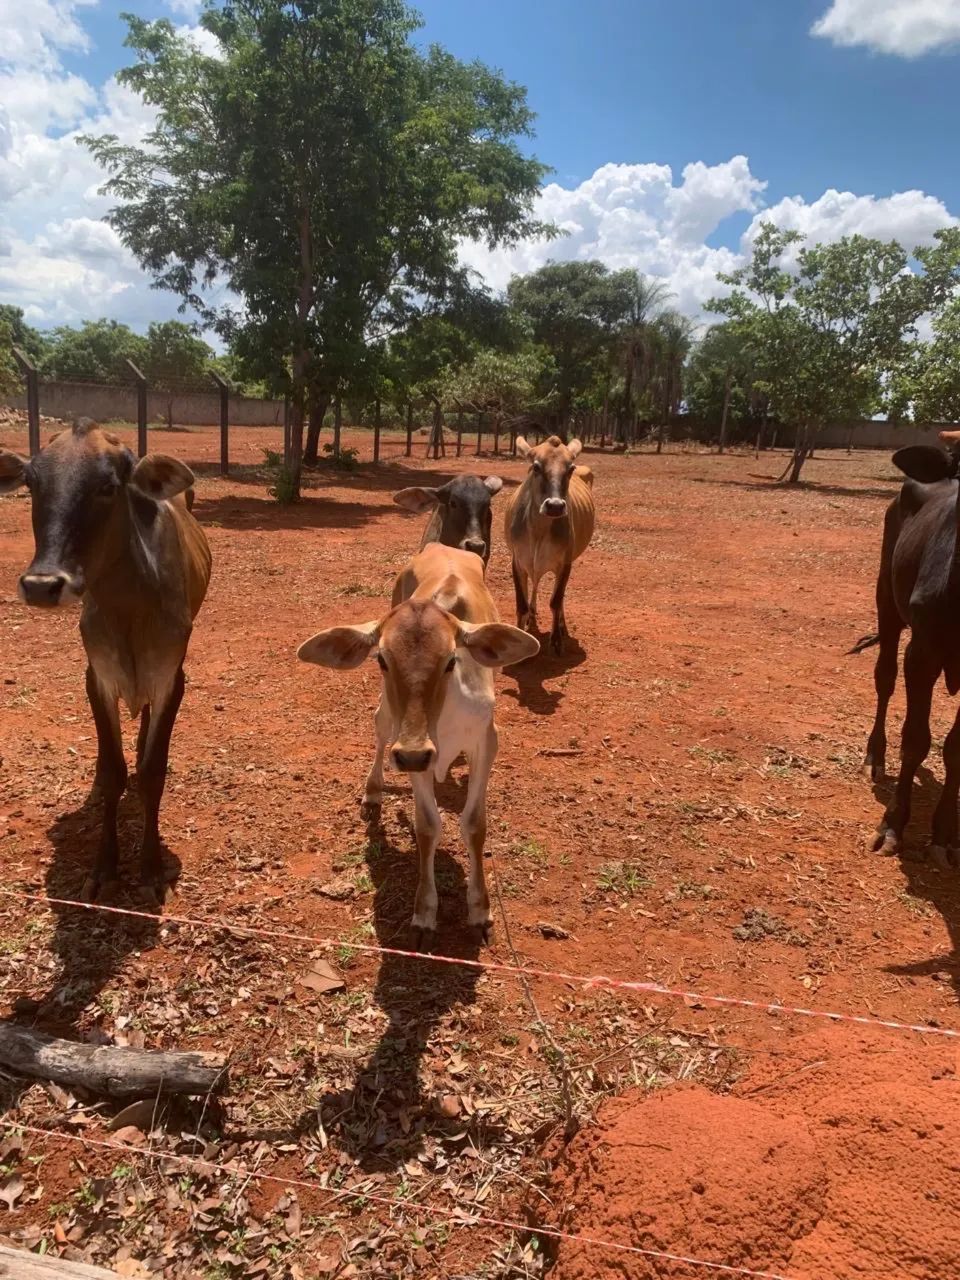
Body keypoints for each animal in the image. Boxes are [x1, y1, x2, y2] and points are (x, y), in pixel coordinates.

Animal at [0, 419, 211, 900]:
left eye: (108, 486)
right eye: (31, 483)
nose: (42, 585)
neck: (129, 604)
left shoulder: (171, 676)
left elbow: (152, 773)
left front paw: (150, 869)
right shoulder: (98, 677)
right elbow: (114, 771)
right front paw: (104, 867)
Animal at [297, 543, 538, 945]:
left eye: (451, 660)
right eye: (381, 658)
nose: (412, 753)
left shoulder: (485, 741)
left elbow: (475, 824)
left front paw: (480, 912)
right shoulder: (414, 753)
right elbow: (427, 826)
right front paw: (424, 914)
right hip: (389, 720)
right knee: (380, 729)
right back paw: (373, 792)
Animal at [504, 434, 595, 654]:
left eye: (570, 468)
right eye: (536, 467)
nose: (555, 506)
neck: (538, 530)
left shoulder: (565, 564)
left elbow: (555, 600)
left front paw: (556, 640)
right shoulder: (517, 561)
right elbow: (521, 604)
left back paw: (561, 625)